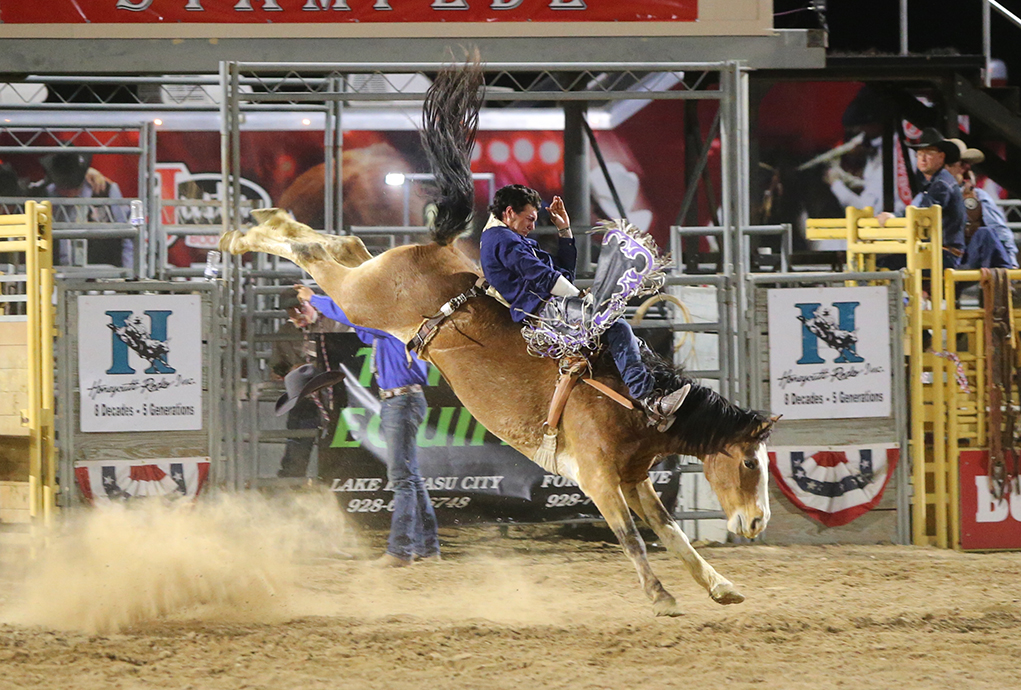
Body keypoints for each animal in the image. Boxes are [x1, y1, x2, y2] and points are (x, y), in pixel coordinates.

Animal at [221, 53, 771, 616]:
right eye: (750, 462)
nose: (756, 522)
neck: (630, 402)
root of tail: (436, 249)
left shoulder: (634, 476)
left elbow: (670, 532)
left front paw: (719, 585)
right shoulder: (599, 479)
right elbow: (633, 537)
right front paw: (661, 597)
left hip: (367, 282)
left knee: (345, 245)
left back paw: (267, 218)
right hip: (363, 299)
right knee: (316, 256)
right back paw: (240, 236)